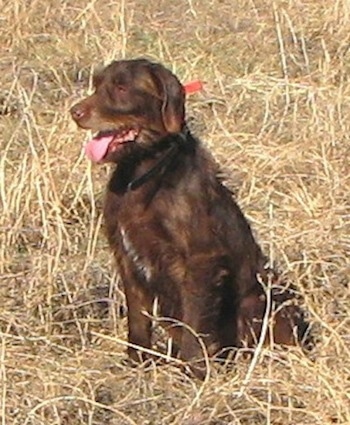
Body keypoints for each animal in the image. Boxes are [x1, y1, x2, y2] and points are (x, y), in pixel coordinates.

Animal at [71, 58, 312, 374]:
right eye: (97, 85)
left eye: (122, 88)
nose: (75, 113)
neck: (144, 172)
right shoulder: (126, 256)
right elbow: (138, 319)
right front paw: (137, 361)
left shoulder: (200, 260)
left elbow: (195, 322)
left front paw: (195, 369)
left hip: (259, 298)